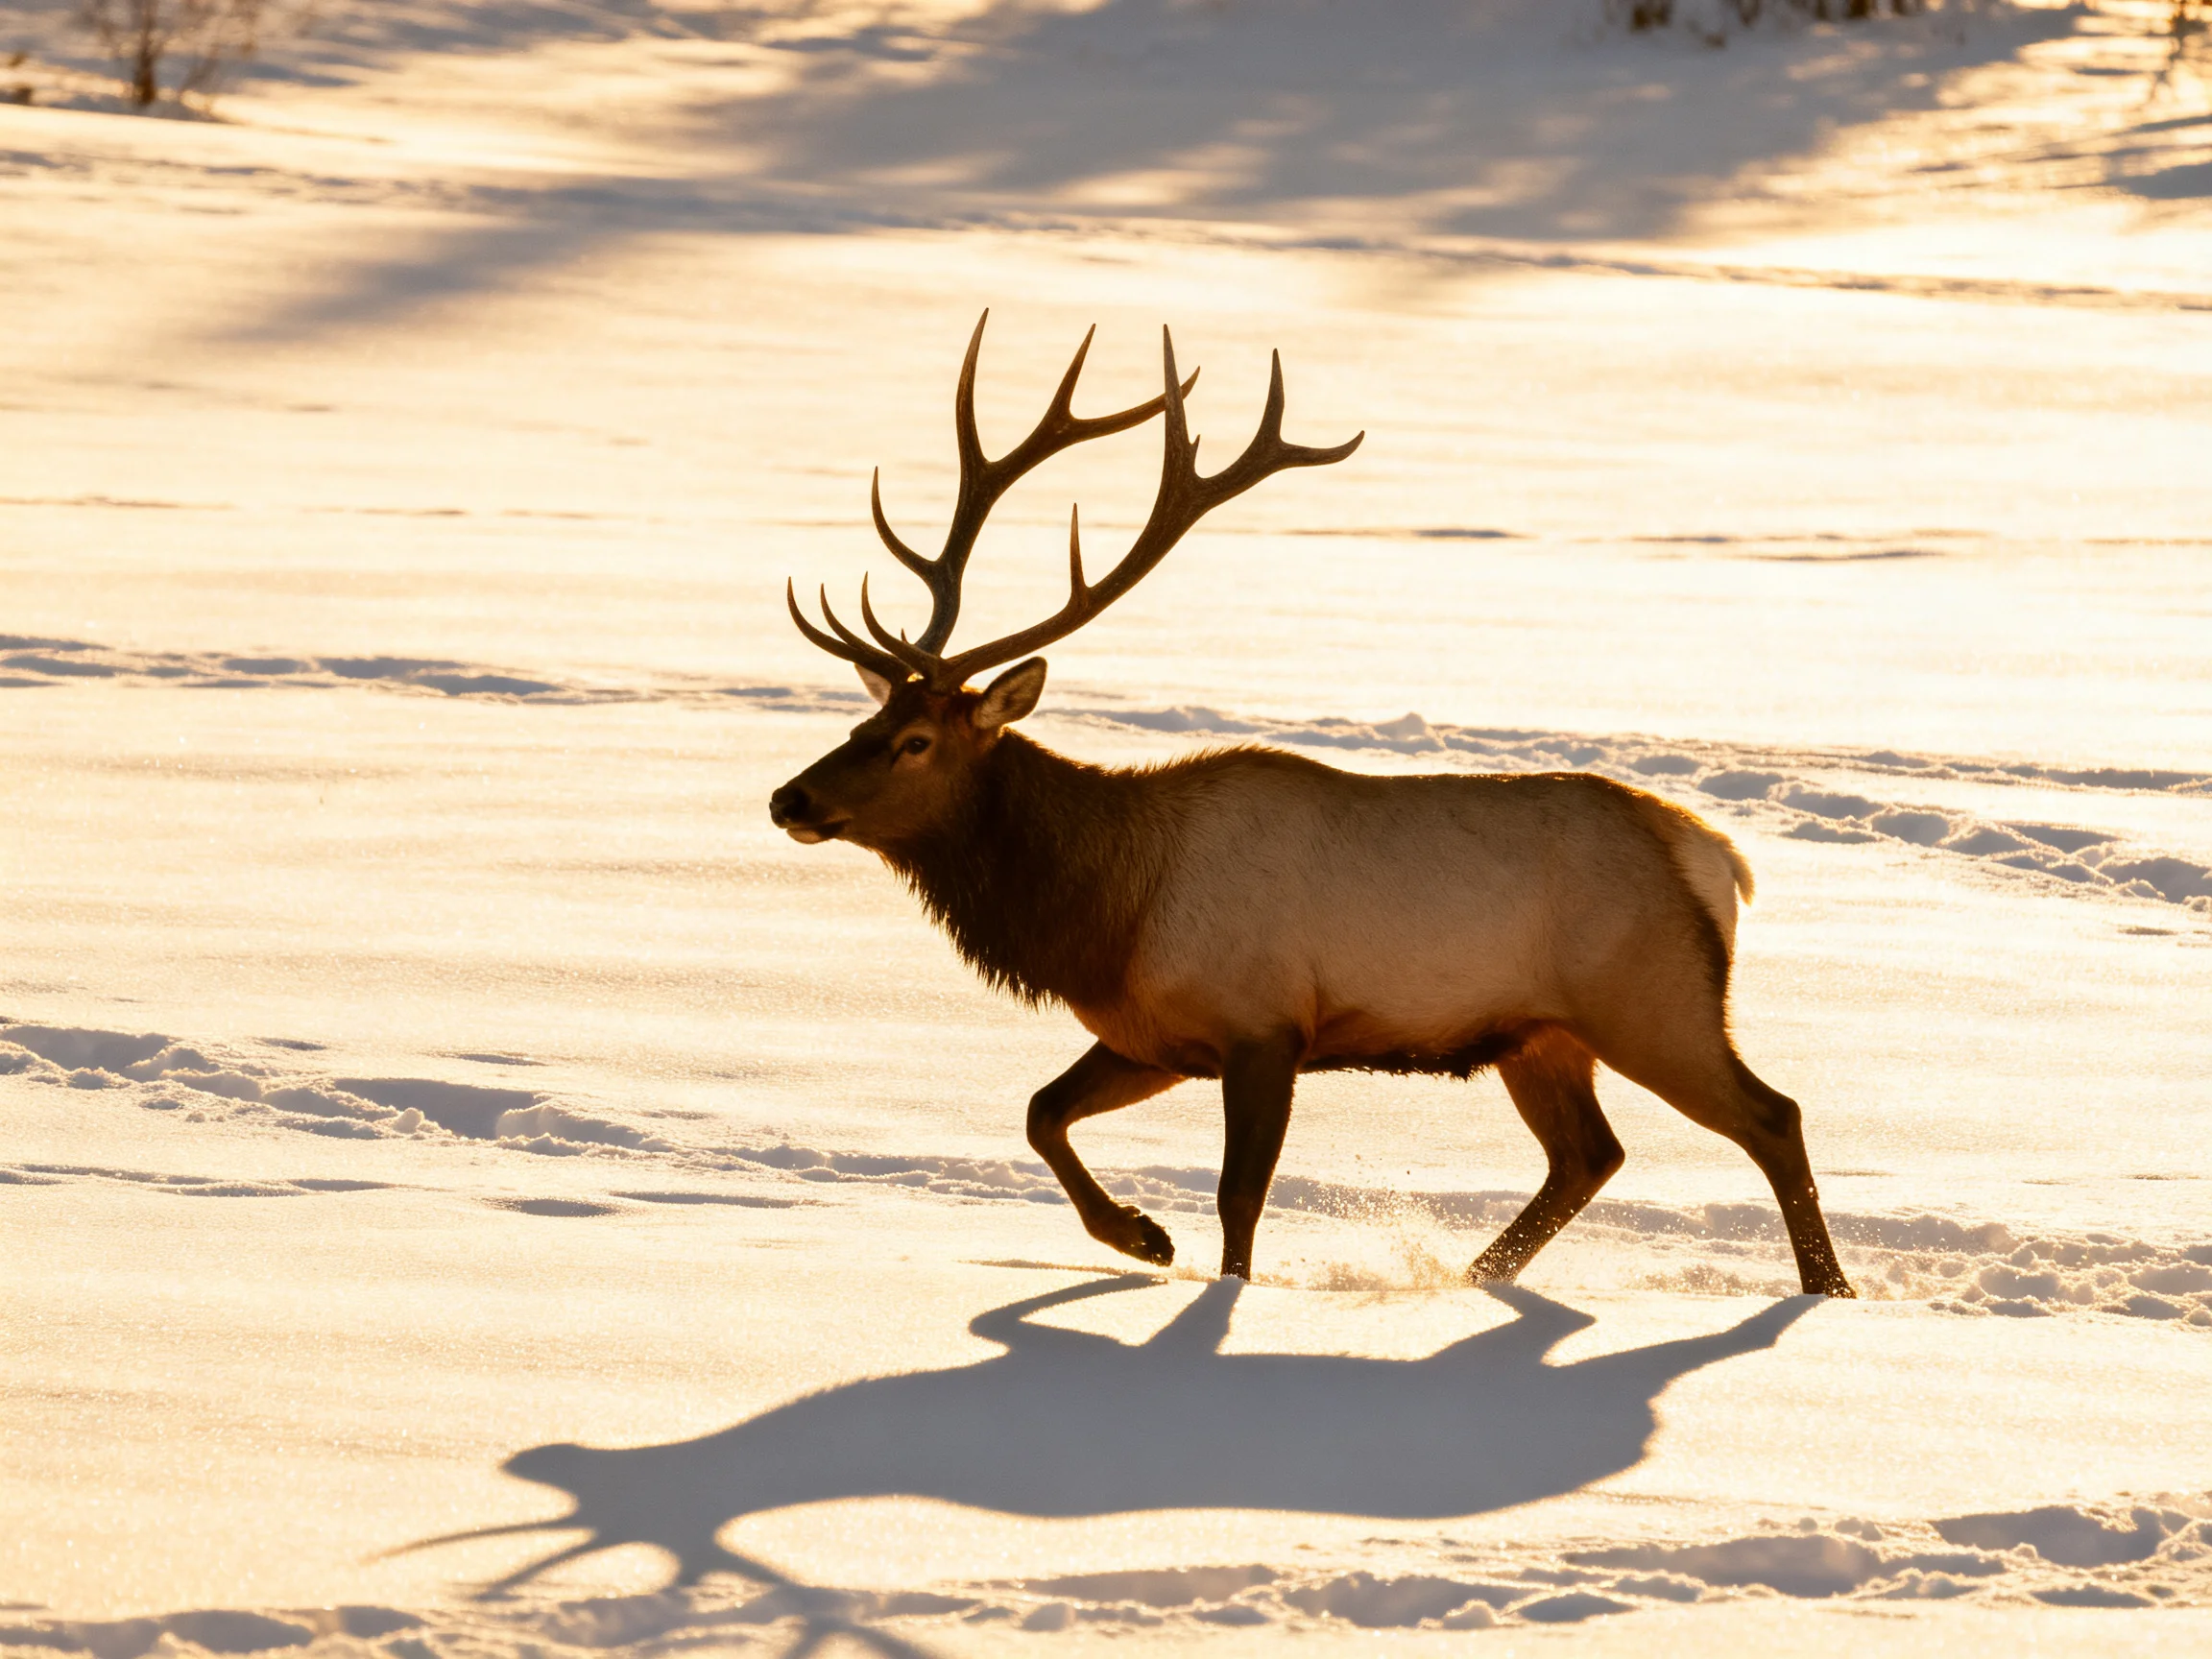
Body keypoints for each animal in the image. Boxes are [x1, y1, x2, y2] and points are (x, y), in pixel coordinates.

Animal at [768, 315, 1855, 1298]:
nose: (789, 796)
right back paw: (1473, 1278)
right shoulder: (1157, 1035)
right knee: (1589, 1154)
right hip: (1541, 1032)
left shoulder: (1263, 1025)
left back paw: (1827, 1293)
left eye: (915, 742)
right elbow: (1041, 1111)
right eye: (864, 720)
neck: (1107, 910)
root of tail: (1719, 861)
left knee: (1771, 1116)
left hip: (1651, 999)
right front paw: (1141, 1237)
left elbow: (1238, 1197)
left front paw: (1218, 1284)